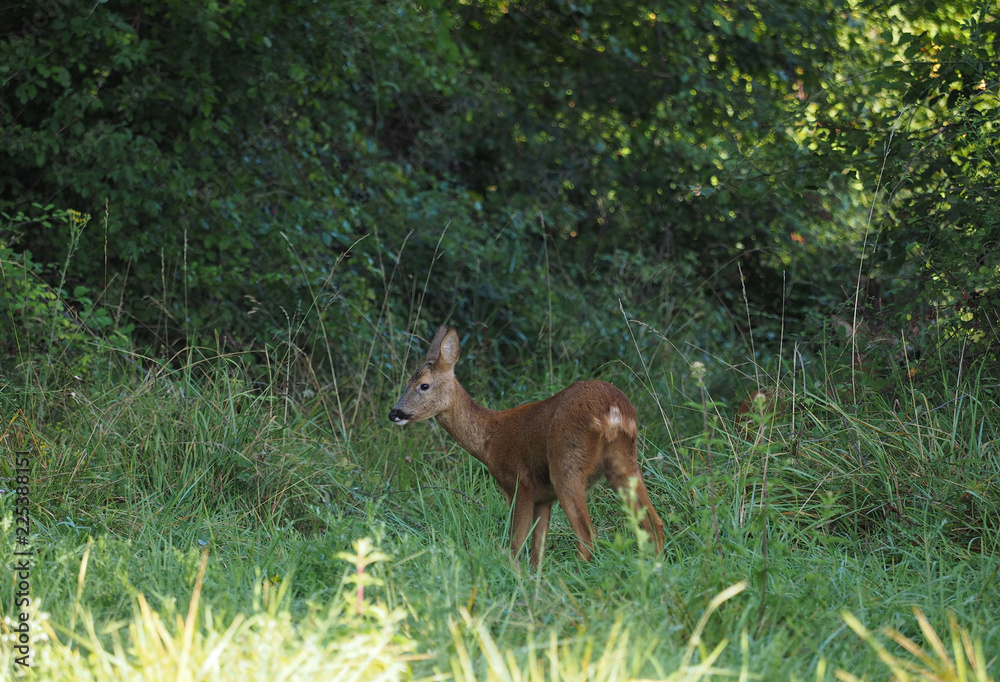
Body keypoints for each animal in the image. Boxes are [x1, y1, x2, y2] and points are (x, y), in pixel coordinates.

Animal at [388, 324, 664, 564]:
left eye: (424, 385)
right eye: (406, 383)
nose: (395, 413)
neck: (489, 439)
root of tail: (613, 411)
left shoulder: (519, 483)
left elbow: (516, 543)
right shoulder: (544, 497)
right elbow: (536, 549)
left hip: (566, 464)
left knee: (588, 535)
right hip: (624, 463)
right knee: (654, 523)